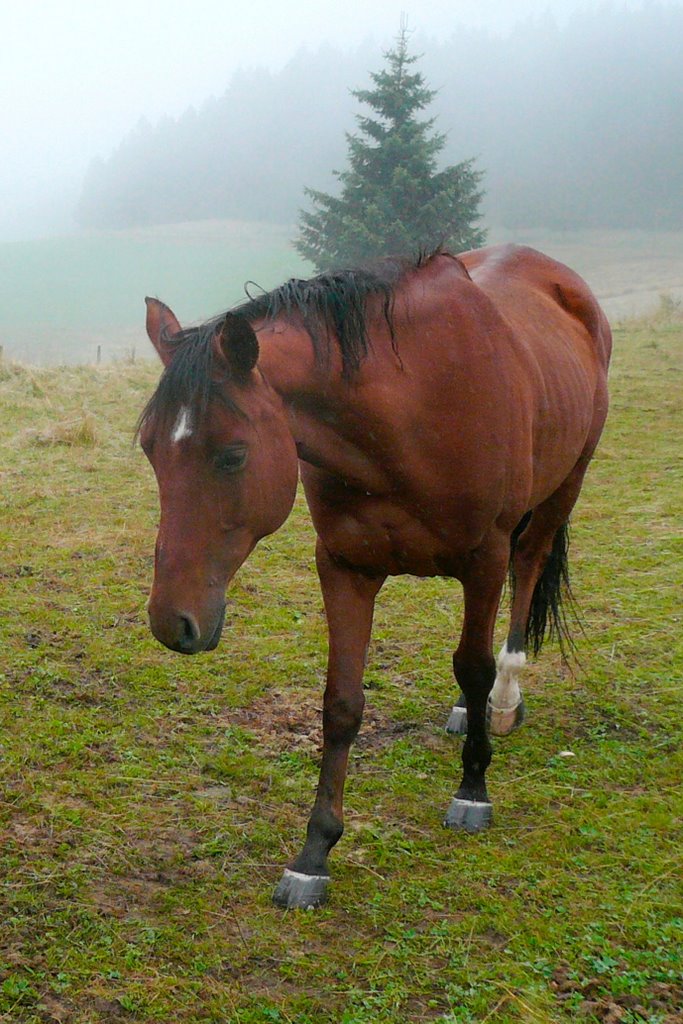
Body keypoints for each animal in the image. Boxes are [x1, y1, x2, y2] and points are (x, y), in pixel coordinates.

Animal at [140, 241, 614, 913]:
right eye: (150, 449)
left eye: (232, 455)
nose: (170, 621)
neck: (406, 417)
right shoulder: (345, 567)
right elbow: (341, 704)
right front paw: (313, 855)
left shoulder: (483, 560)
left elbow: (472, 666)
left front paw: (473, 790)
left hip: (560, 491)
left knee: (526, 578)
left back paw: (502, 702)